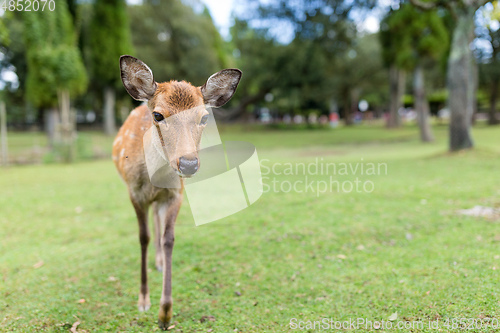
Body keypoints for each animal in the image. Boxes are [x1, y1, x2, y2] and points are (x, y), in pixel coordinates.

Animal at [112, 55, 241, 328]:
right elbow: (143, 237)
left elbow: (169, 238)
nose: (188, 163)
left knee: (158, 221)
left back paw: (160, 263)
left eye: (204, 118)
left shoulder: (175, 194)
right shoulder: (134, 193)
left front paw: (165, 313)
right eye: (158, 115)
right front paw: (143, 300)